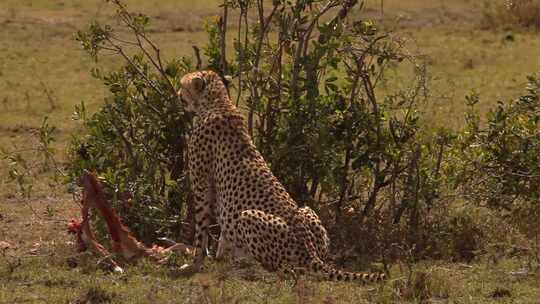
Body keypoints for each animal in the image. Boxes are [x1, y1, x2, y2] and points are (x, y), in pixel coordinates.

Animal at [177, 69, 384, 282]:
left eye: (182, 85)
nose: (177, 94)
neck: (218, 102)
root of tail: (310, 252)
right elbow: (223, 232)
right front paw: (219, 255)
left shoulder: (201, 185)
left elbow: (201, 227)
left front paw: (195, 263)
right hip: (306, 210)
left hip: (248, 217)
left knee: (285, 270)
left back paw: (249, 266)